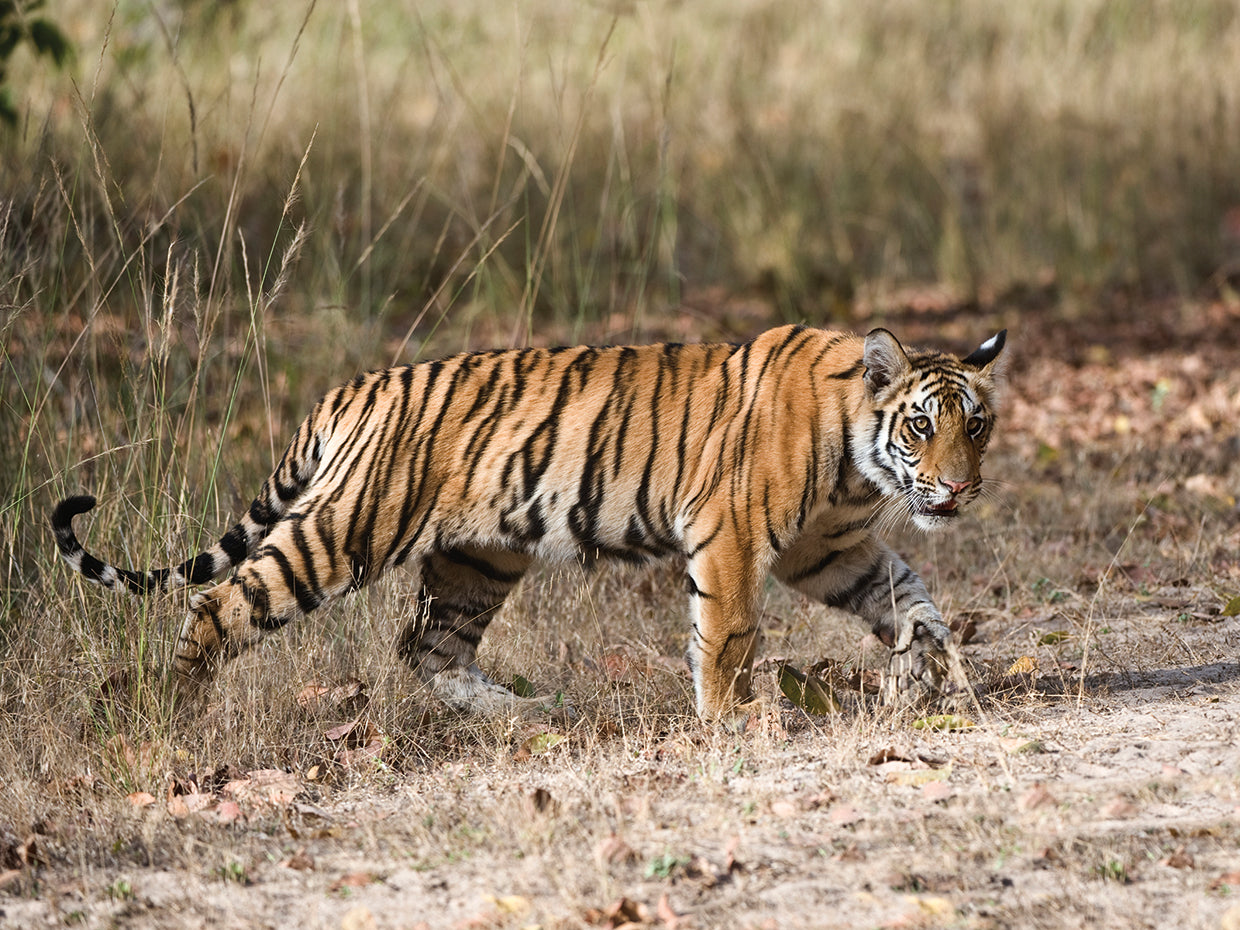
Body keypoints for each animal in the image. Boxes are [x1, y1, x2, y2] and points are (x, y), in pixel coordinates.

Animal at [52, 324, 1007, 724]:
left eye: (978, 425)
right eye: (923, 425)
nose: (962, 489)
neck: (858, 460)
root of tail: (353, 387)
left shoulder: (827, 550)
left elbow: (913, 598)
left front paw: (928, 678)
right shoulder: (734, 539)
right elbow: (729, 633)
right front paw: (734, 719)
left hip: (478, 559)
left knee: (425, 647)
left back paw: (523, 713)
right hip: (346, 533)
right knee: (219, 605)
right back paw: (172, 715)